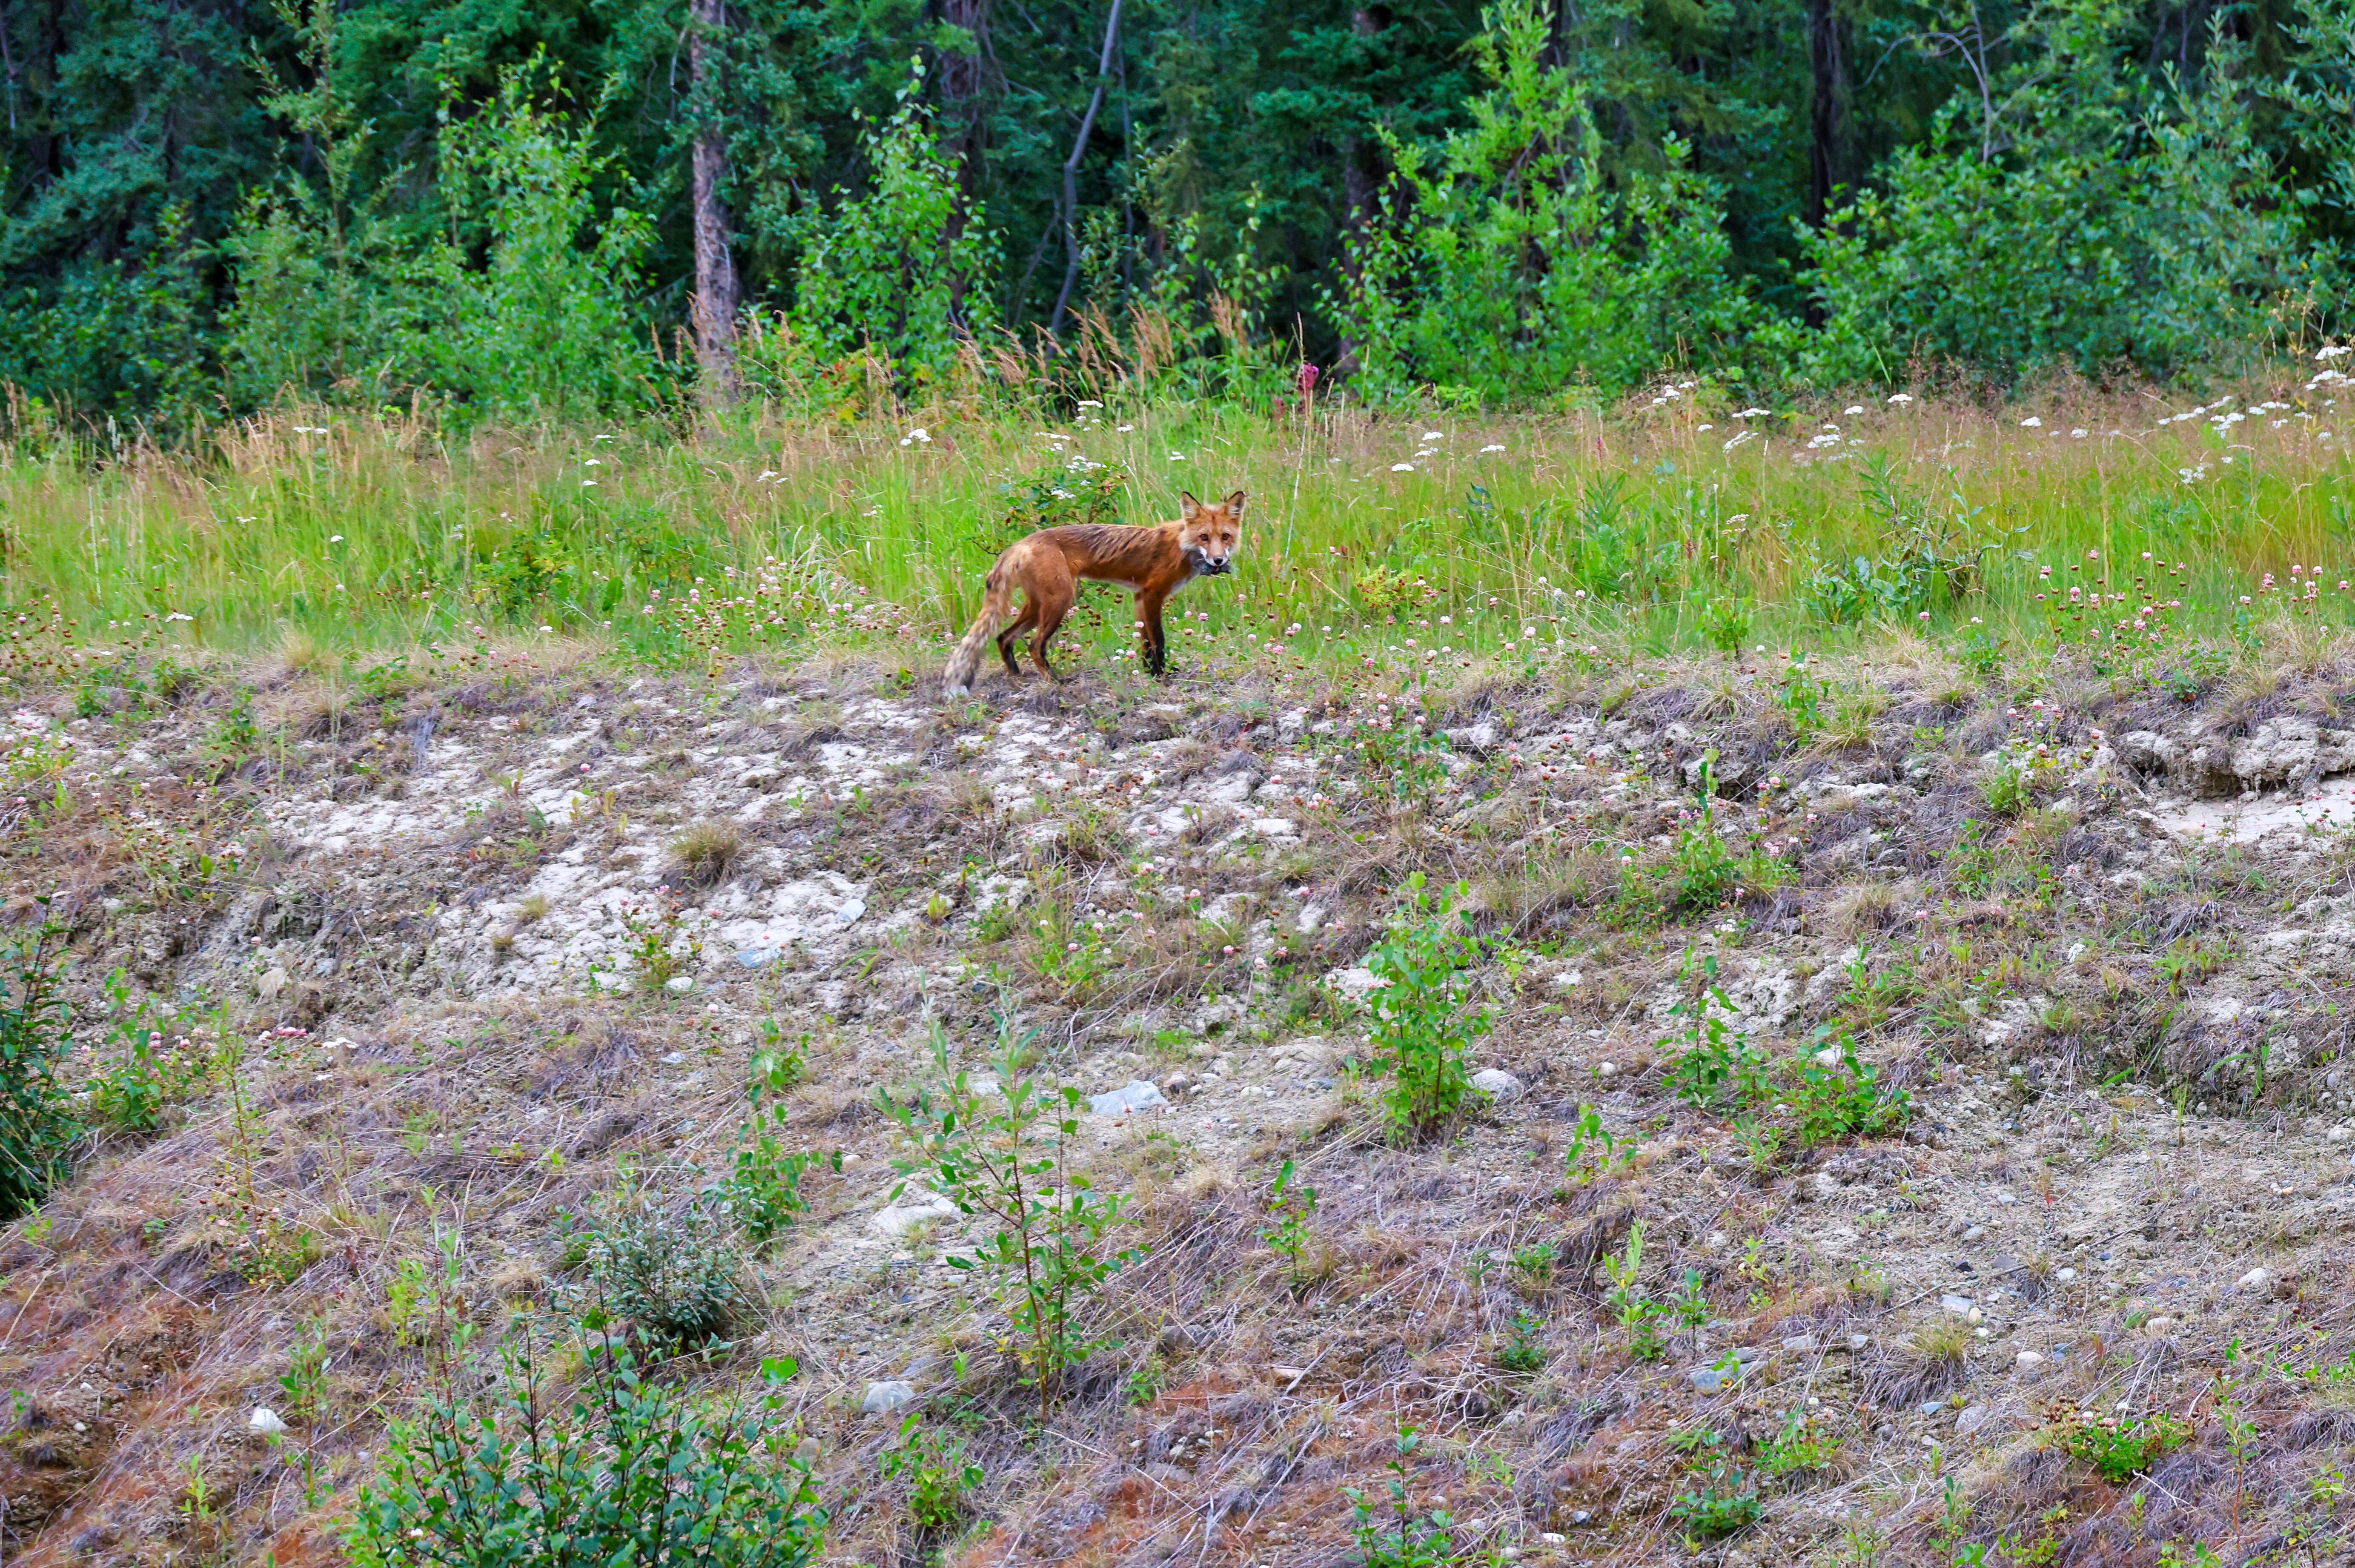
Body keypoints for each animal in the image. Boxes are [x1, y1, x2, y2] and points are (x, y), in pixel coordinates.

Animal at [941, 489, 1246, 696]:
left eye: (1225, 537)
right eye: (1204, 537)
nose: (1218, 561)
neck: (1183, 548)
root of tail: (1019, 544)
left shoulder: (1139, 597)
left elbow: (1145, 645)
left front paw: (1151, 674)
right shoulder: (1152, 594)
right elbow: (1158, 642)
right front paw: (1161, 677)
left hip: (1039, 606)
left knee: (1004, 637)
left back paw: (1017, 679)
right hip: (1060, 602)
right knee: (1034, 645)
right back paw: (1055, 683)